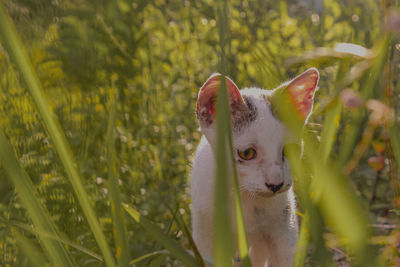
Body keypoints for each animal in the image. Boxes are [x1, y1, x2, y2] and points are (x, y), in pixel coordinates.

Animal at [191, 69, 318, 267]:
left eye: (290, 150)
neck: (243, 198)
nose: (275, 183)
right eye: (247, 153)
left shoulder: (284, 230)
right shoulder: (205, 234)